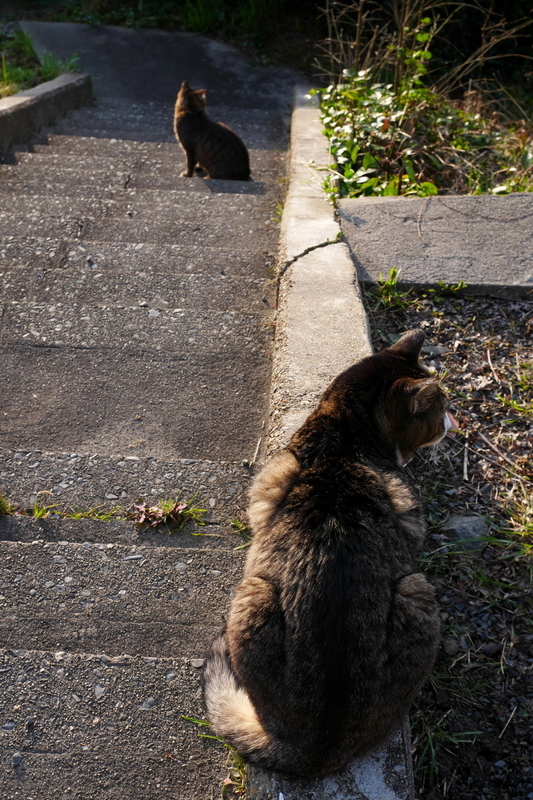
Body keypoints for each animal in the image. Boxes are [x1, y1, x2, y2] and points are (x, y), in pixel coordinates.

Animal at [202, 328, 456, 780]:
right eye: (440, 406)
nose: (453, 422)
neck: (343, 437)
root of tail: (315, 749)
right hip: (415, 588)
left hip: (255, 593)